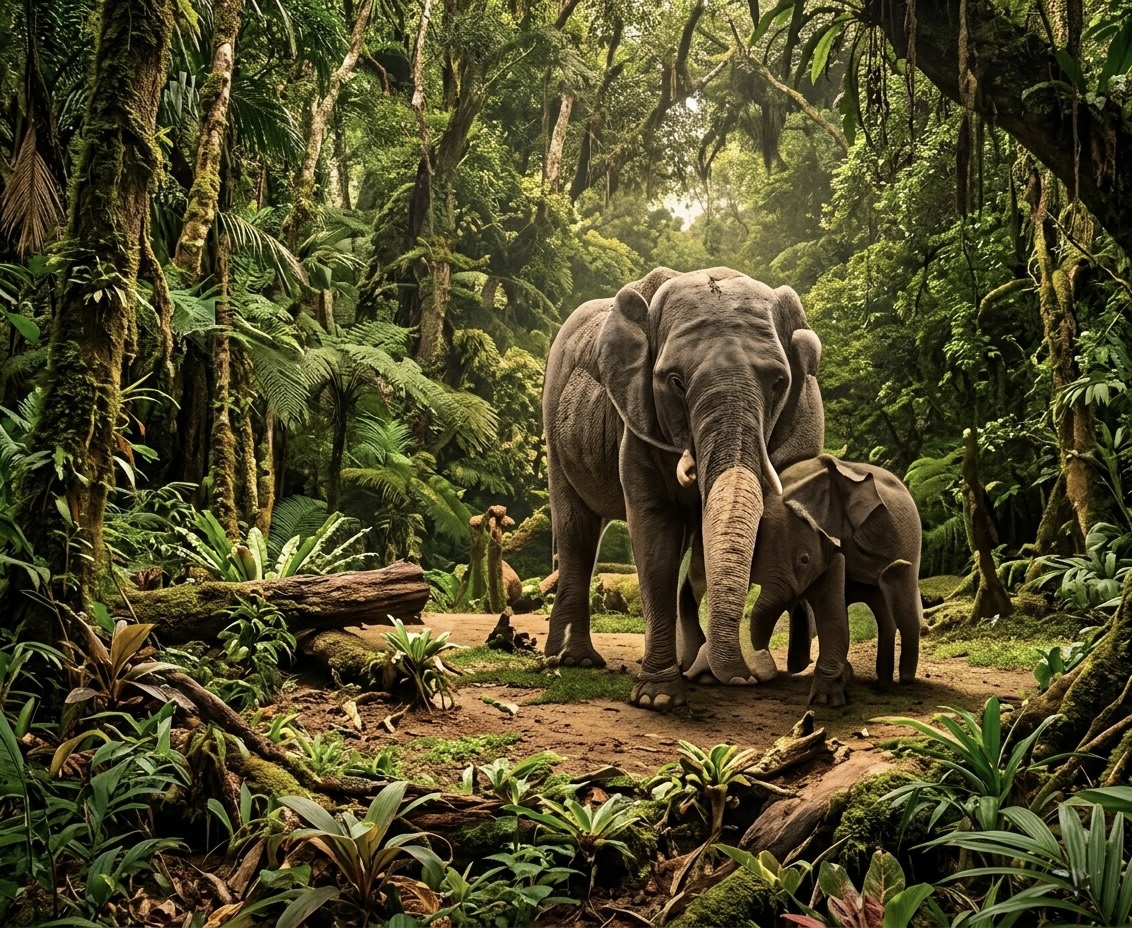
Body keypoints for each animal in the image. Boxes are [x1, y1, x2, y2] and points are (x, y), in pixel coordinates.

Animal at [542, 266, 825, 710]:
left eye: (779, 382)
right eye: (674, 380)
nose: (750, 675)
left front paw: (705, 676)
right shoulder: (637, 422)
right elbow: (655, 531)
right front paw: (657, 699)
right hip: (555, 427)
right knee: (578, 534)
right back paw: (575, 661)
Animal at [680, 454, 923, 706]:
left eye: (804, 560)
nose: (751, 674)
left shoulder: (832, 548)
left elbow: (831, 612)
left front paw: (824, 701)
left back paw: (900, 681)